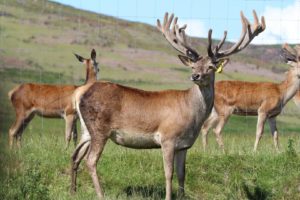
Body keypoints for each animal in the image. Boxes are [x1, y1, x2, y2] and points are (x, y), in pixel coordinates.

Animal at [69, 11, 264, 200]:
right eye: (193, 66)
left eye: (210, 66)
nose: (195, 76)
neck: (192, 116)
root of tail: (80, 94)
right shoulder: (168, 138)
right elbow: (168, 173)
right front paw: (169, 196)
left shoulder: (184, 145)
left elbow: (182, 174)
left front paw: (182, 196)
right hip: (100, 129)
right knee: (90, 160)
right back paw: (100, 194)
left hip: (87, 130)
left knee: (75, 155)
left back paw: (73, 191)